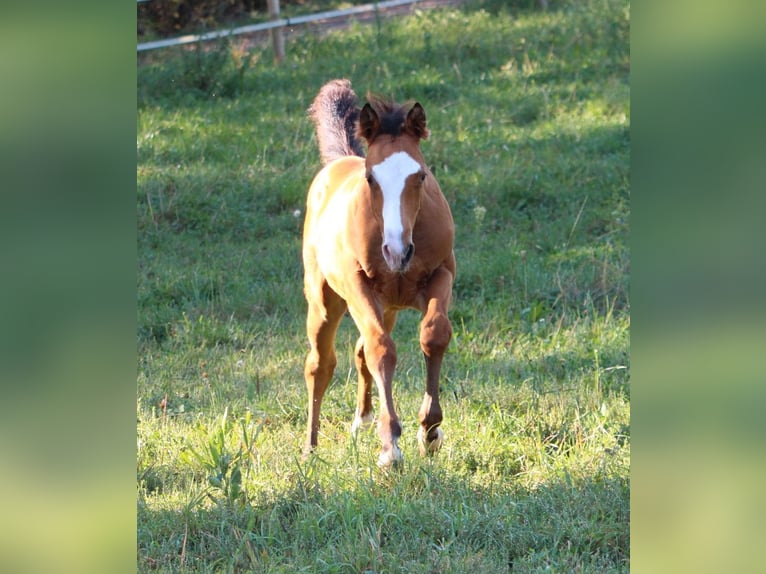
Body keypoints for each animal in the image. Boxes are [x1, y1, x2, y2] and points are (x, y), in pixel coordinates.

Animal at [302, 80, 460, 468]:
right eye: (371, 178)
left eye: (421, 175)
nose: (397, 251)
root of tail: (339, 161)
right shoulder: (358, 286)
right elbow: (381, 351)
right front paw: (390, 446)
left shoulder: (442, 274)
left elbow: (434, 334)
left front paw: (429, 431)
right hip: (326, 300)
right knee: (320, 363)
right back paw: (310, 449)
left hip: (387, 306)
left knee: (359, 350)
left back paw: (362, 421)